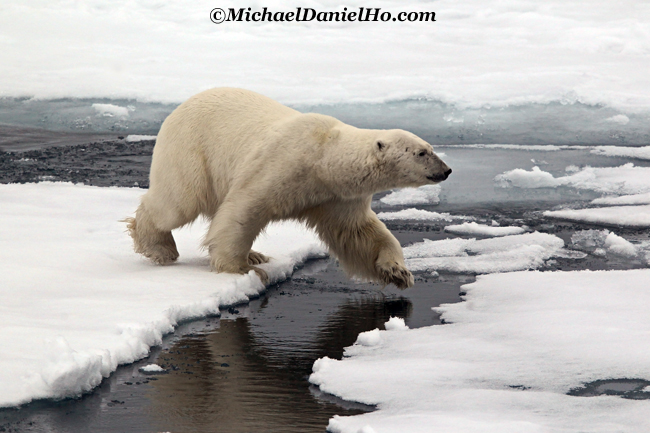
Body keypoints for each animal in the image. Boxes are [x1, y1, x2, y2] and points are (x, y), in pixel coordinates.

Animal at [125, 87, 450, 288]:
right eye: (422, 153)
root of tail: (177, 109)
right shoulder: (282, 164)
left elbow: (358, 233)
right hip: (192, 150)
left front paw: (398, 272)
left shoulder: (336, 196)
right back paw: (161, 248)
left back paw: (256, 253)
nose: (446, 170)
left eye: (430, 148)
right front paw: (243, 269)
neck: (324, 159)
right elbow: (243, 210)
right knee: (177, 203)